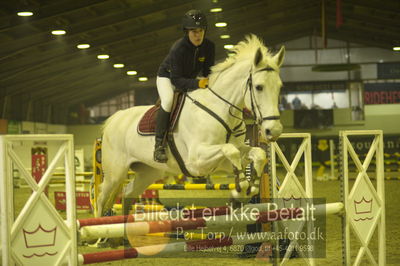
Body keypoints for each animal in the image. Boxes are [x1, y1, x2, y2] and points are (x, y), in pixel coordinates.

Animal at [95, 34, 286, 216]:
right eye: (259, 87)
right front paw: (240, 189)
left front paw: (250, 187)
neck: (220, 107)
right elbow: (230, 151)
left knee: (127, 194)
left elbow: (258, 153)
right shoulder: (197, 160)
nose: (274, 130)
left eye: (280, 87)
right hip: (115, 173)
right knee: (101, 198)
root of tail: (114, 118)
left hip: (148, 172)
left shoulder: (224, 159)